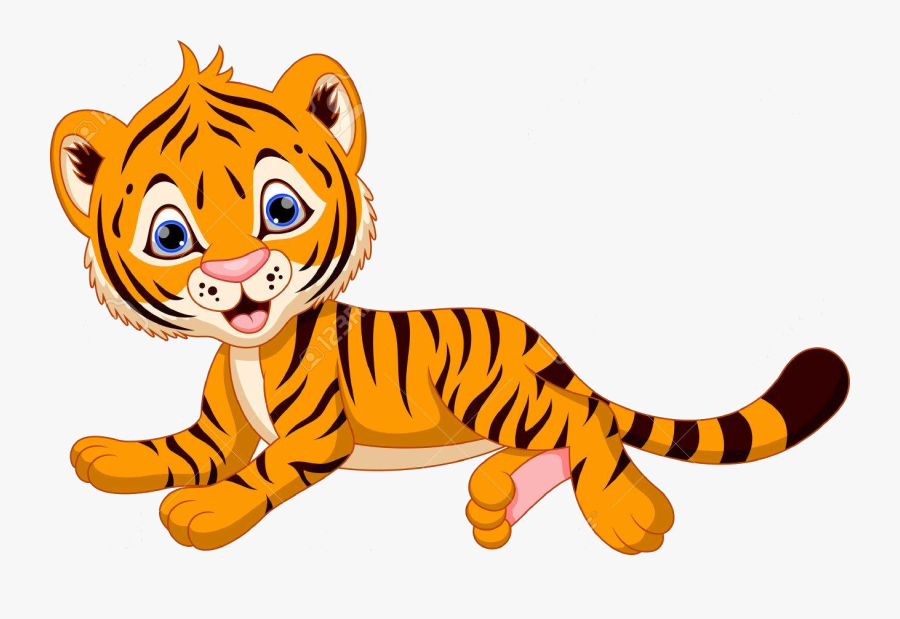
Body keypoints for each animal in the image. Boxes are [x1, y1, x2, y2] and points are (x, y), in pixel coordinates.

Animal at [51, 44, 850, 553]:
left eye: (279, 210)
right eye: (171, 235)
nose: (241, 269)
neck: (251, 346)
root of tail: (531, 334)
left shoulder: (315, 436)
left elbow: (265, 470)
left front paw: (204, 507)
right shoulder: (217, 434)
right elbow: (175, 449)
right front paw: (107, 456)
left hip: (484, 391)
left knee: (587, 419)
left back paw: (628, 514)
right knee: (563, 431)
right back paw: (496, 495)